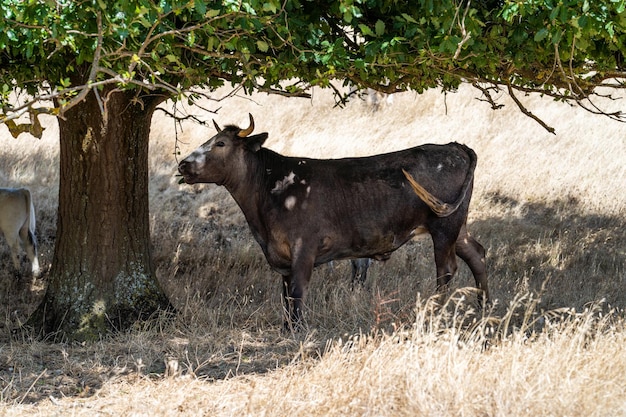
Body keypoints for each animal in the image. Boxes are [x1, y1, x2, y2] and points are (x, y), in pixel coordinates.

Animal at [178, 114, 486, 328]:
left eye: (220, 143)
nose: (183, 164)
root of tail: (454, 146)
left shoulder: (304, 247)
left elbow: (297, 290)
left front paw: (297, 330)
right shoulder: (282, 256)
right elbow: (285, 295)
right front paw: (287, 327)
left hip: (444, 226)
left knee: (446, 269)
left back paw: (437, 313)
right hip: (457, 225)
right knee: (477, 254)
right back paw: (484, 307)